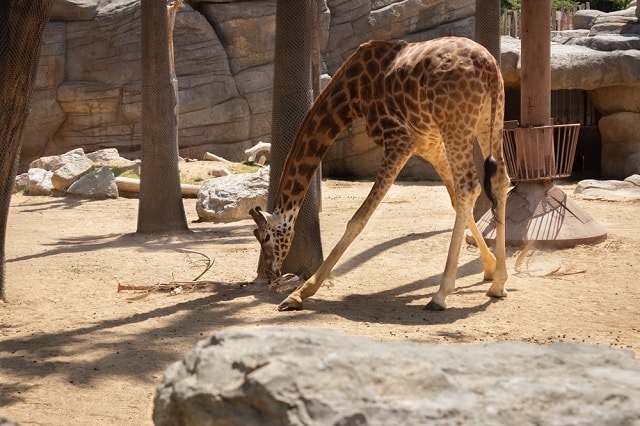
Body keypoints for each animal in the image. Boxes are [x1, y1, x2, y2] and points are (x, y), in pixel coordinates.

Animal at [251, 35, 510, 310]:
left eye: (265, 237)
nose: (271, 274)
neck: (352, 94)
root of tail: (487, 65)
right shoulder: (428, 143)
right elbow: (455, 200)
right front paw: (490, 268)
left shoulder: (400, 139)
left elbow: (359, 217)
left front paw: (299, 293)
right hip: (488, 120)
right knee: (499, 180)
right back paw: (499, 284)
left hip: (456, 124)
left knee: (470, 185)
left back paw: (440, 295)